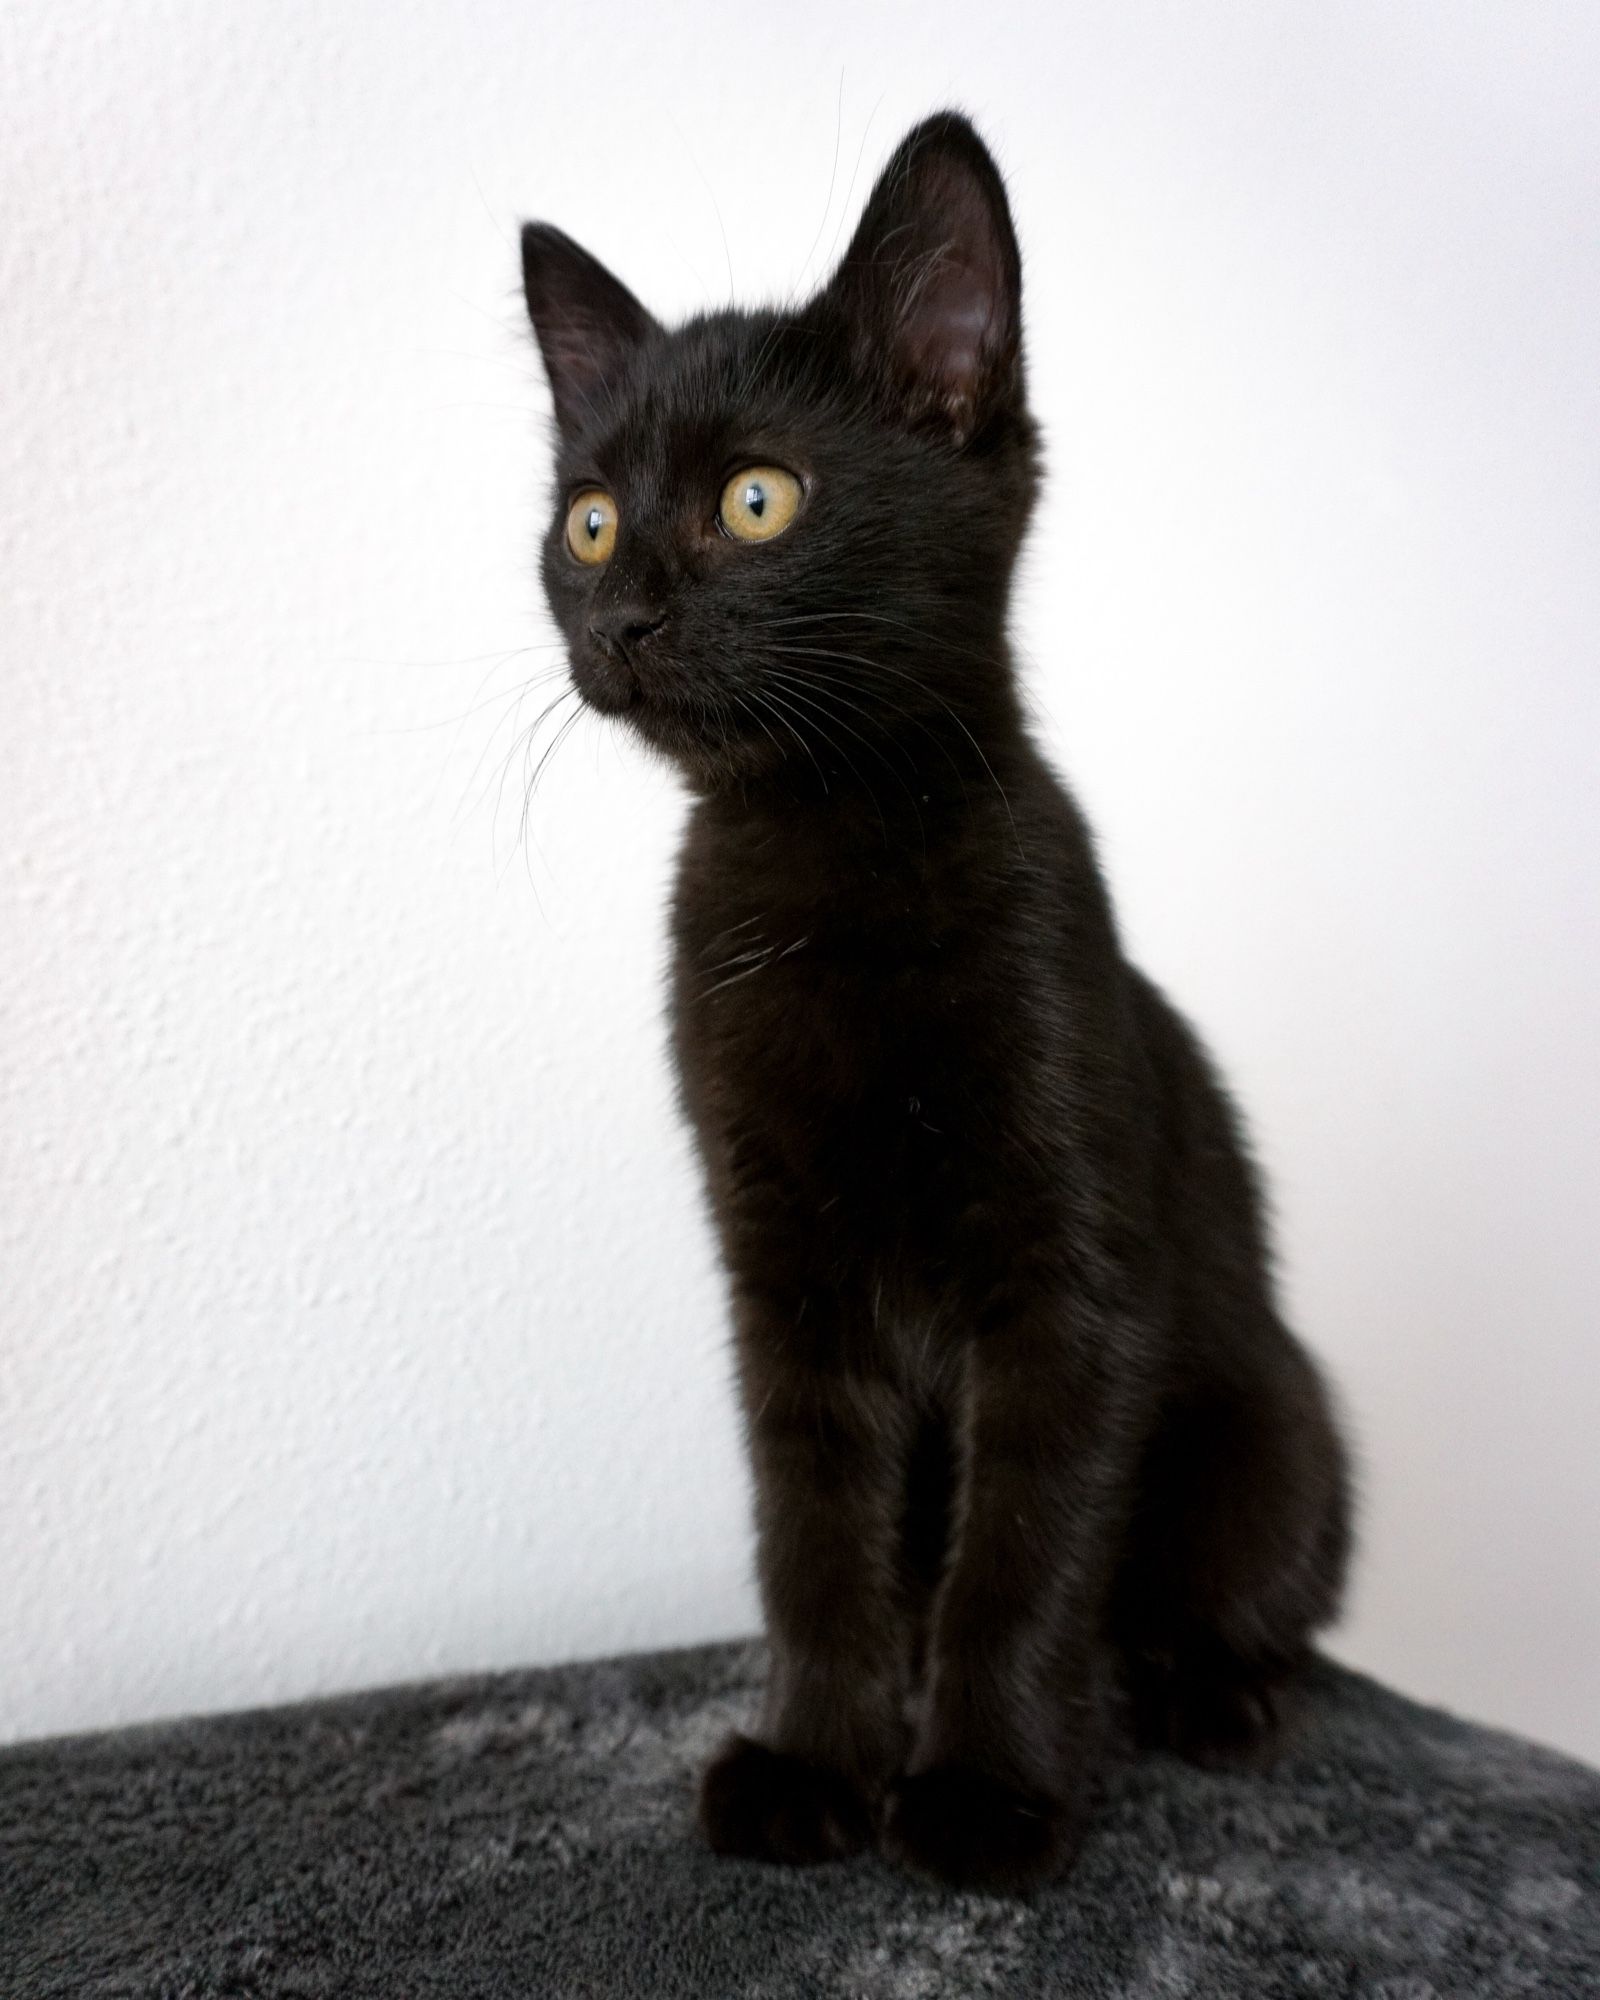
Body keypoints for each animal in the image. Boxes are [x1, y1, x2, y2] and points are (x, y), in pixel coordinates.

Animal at [520, 109, 1344, 1888]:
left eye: (759, 499)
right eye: (590, 520)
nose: (618, 619)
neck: (822, 856)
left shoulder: (1071, 1285)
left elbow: (1022, 1555)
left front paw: (980, 1791)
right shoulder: (783, 1276)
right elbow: (816, 1534)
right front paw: (816, 1760)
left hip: (1272, 1429)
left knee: (1250, 1594)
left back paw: (1204, 1688)